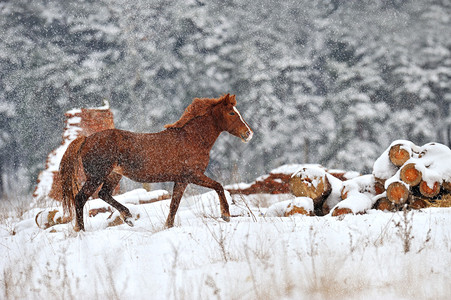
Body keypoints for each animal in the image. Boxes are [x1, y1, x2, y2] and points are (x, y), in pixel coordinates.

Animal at [59, 94, 254, 230]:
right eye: (231, 112)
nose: (248, 133)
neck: (192, 139)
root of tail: (86, 139)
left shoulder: (181, 180)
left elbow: (174, 205)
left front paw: (167, 227)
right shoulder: (193, 175)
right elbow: (218, 186)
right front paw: (226, 215)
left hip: (113, 175)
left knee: (103, 194)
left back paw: (128, 217)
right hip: (96, 176)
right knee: (80, 198)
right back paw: (81, 230)